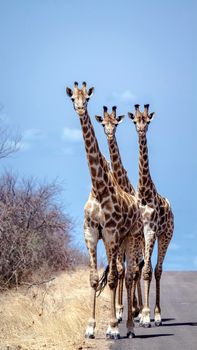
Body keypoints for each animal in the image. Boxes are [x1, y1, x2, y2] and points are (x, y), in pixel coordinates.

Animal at [66, 82, 143, 340]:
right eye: (73, 98)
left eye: (88, 98)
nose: (80, 108)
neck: (99, 190)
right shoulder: (90, 234)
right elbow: (93, 279)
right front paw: (90, 327)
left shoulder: (110, 235)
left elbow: (111, 278)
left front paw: (112, 327)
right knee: (123, 273)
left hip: (132, 237)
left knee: (127, 275)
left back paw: (129, 326)